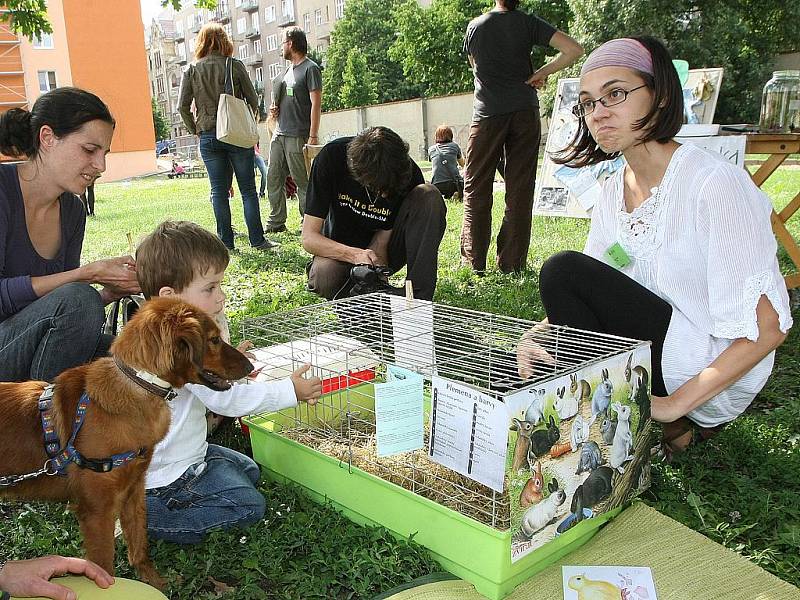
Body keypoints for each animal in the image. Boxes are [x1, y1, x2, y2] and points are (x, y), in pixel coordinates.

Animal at [0, 296, 253, 584]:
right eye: (213, 340)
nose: (251, 367)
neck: (140, 382)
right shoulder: (97, 511)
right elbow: (103, 566)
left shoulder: (134, 488)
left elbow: (139, 542)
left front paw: (154, 582)